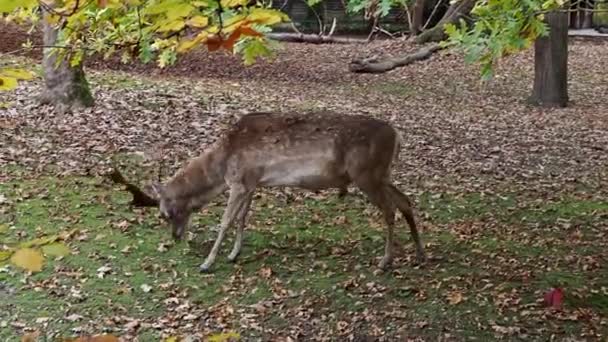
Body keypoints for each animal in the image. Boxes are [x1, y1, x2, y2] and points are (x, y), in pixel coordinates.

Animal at [144, 111, 428, 272]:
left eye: (165, 212)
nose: (175, 237)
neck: (222, 167)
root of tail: (398, 136)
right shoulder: (250, 183)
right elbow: (242, 219)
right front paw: (234, 254)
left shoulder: (238, 181)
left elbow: (225, 221)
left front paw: (207, 263)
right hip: (381, 175)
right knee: (405, 201)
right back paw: (420, 254)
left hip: (367, 174)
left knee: (390, 209)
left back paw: (385, 261)